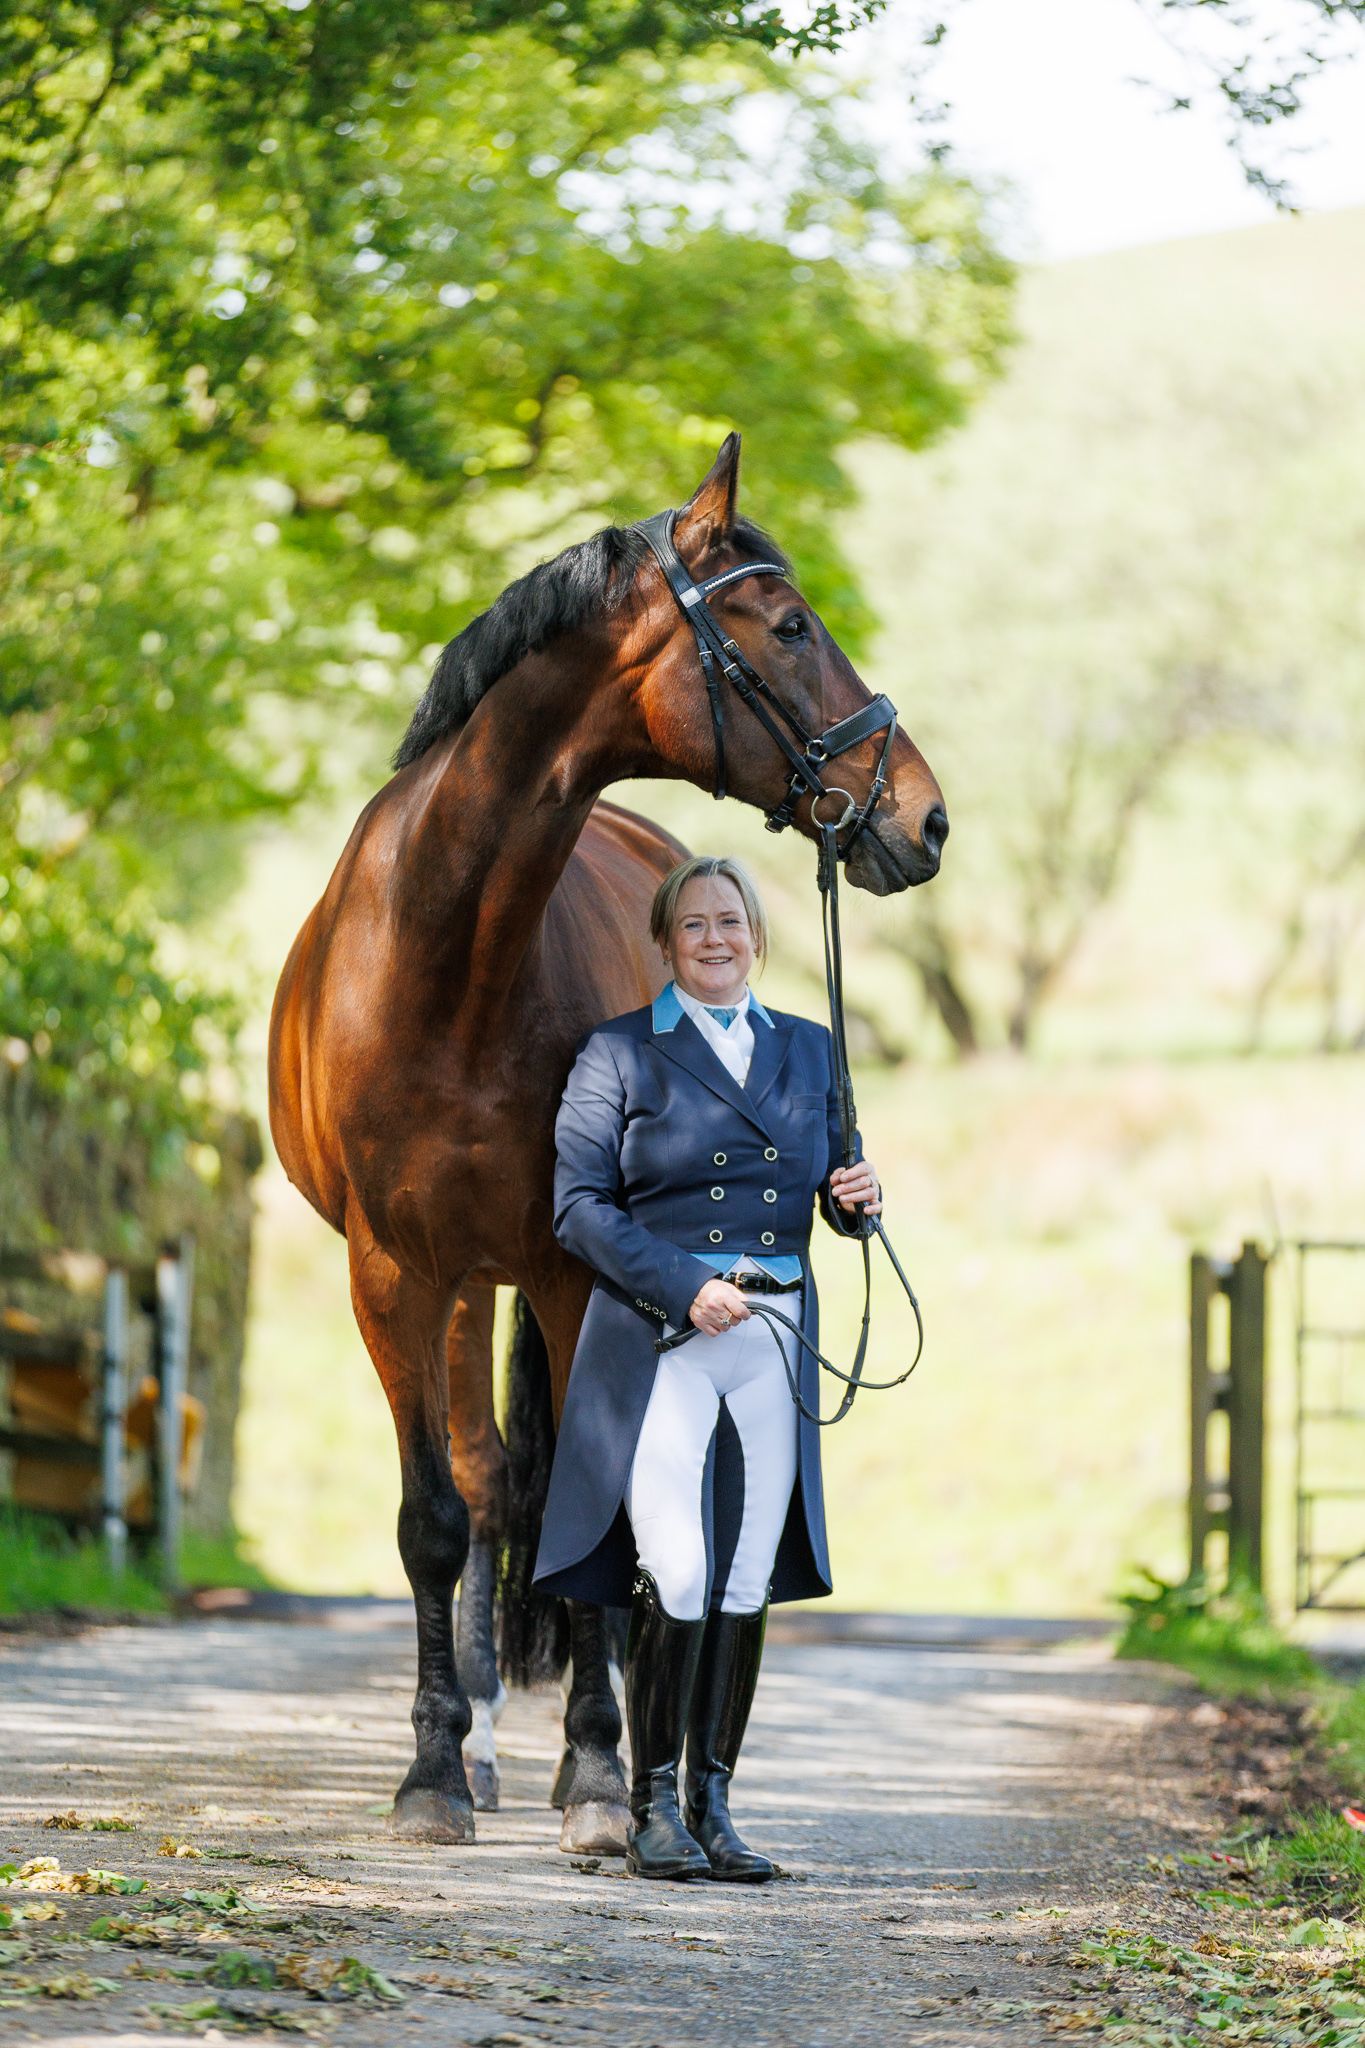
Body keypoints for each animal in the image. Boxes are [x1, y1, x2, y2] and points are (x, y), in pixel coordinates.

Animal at [267, 433, 947, 1852]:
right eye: (788, 625)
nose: (923, 818)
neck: (446, 959)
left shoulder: (575, 1263)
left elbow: (599, 1493)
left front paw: (591, 1766)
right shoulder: (390, 1272)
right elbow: (432, 1517)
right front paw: (431, 1770)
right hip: (459, 1282)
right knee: (482, 1486)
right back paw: (476, 1740)